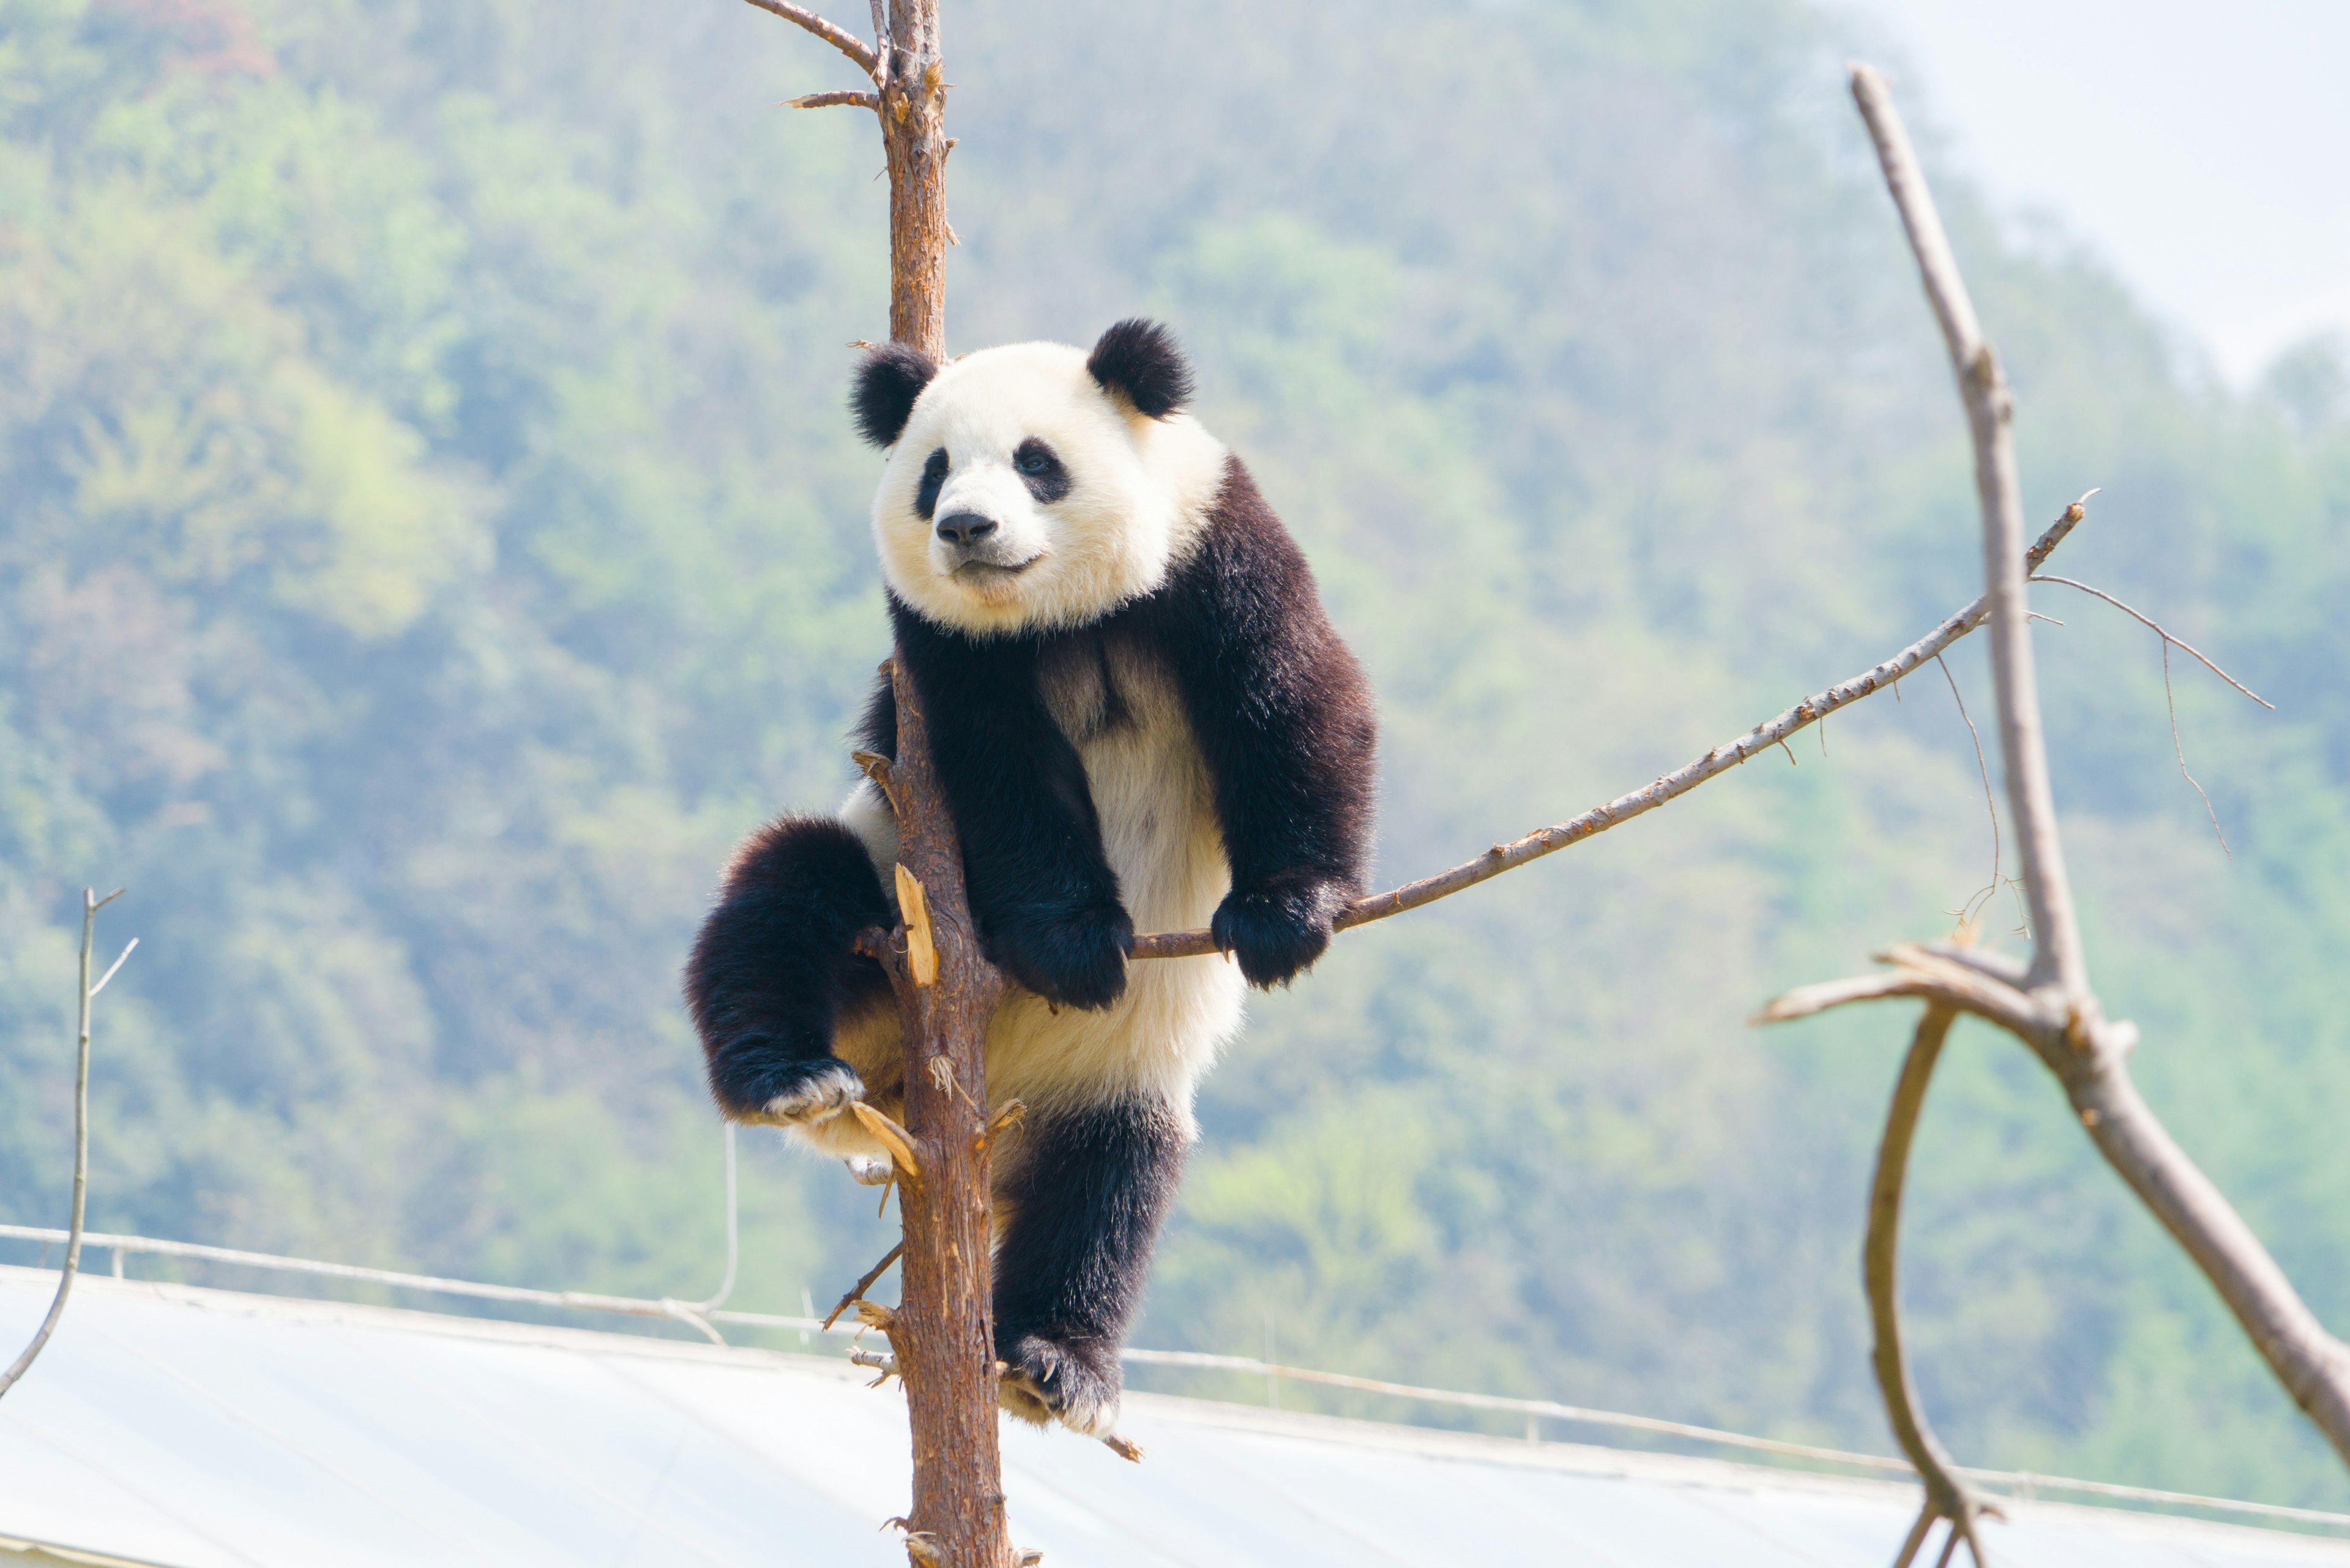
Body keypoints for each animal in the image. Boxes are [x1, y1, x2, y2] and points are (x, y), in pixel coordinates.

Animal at [681, 319, 1372, 1438]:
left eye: (1037, 461)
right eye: (933, 472)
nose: (967, 527)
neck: (1065, 615)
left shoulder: (1216, 553)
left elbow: (1291, 699)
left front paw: (1286, 915)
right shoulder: (942, 653)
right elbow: (995, 776)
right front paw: (1073, 943)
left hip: (1113, 1076)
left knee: (1111, 1182)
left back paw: (1050, 1362)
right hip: (886, 910)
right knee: (788, 891)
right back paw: (786, 1076)